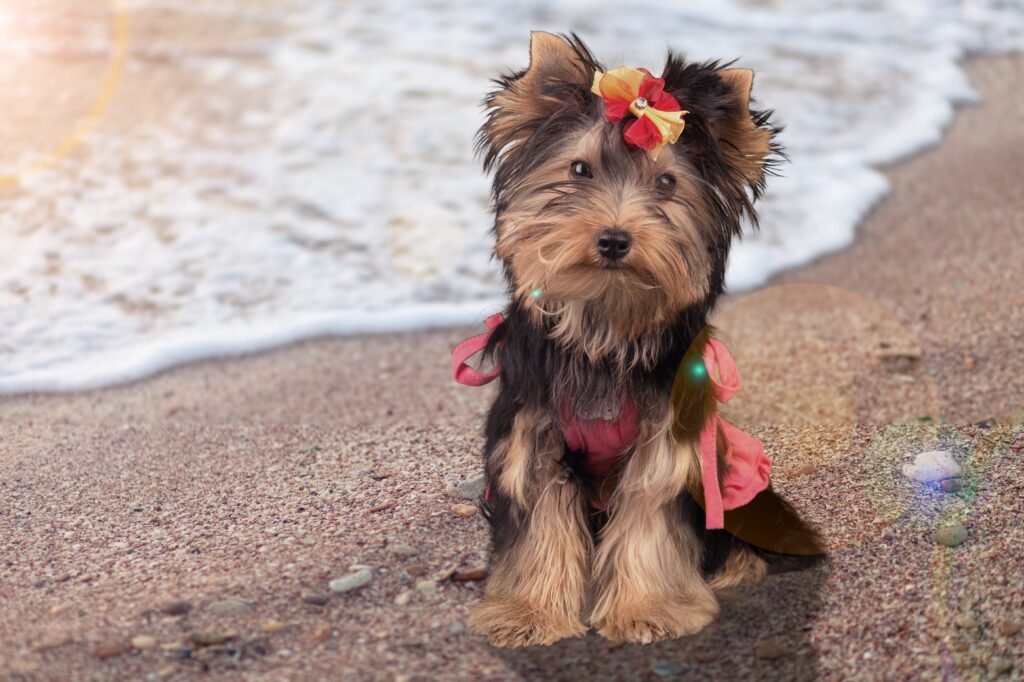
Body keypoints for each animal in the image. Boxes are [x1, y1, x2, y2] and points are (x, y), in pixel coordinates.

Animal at [452, 31, 827, 647]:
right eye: (579, 169)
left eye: (667, 183)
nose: (613, 239)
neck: (605, 320)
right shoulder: (531, 431)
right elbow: (539, 519)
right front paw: (527, 613)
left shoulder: (667, 439)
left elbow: (652, 513)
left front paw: (648, 610)